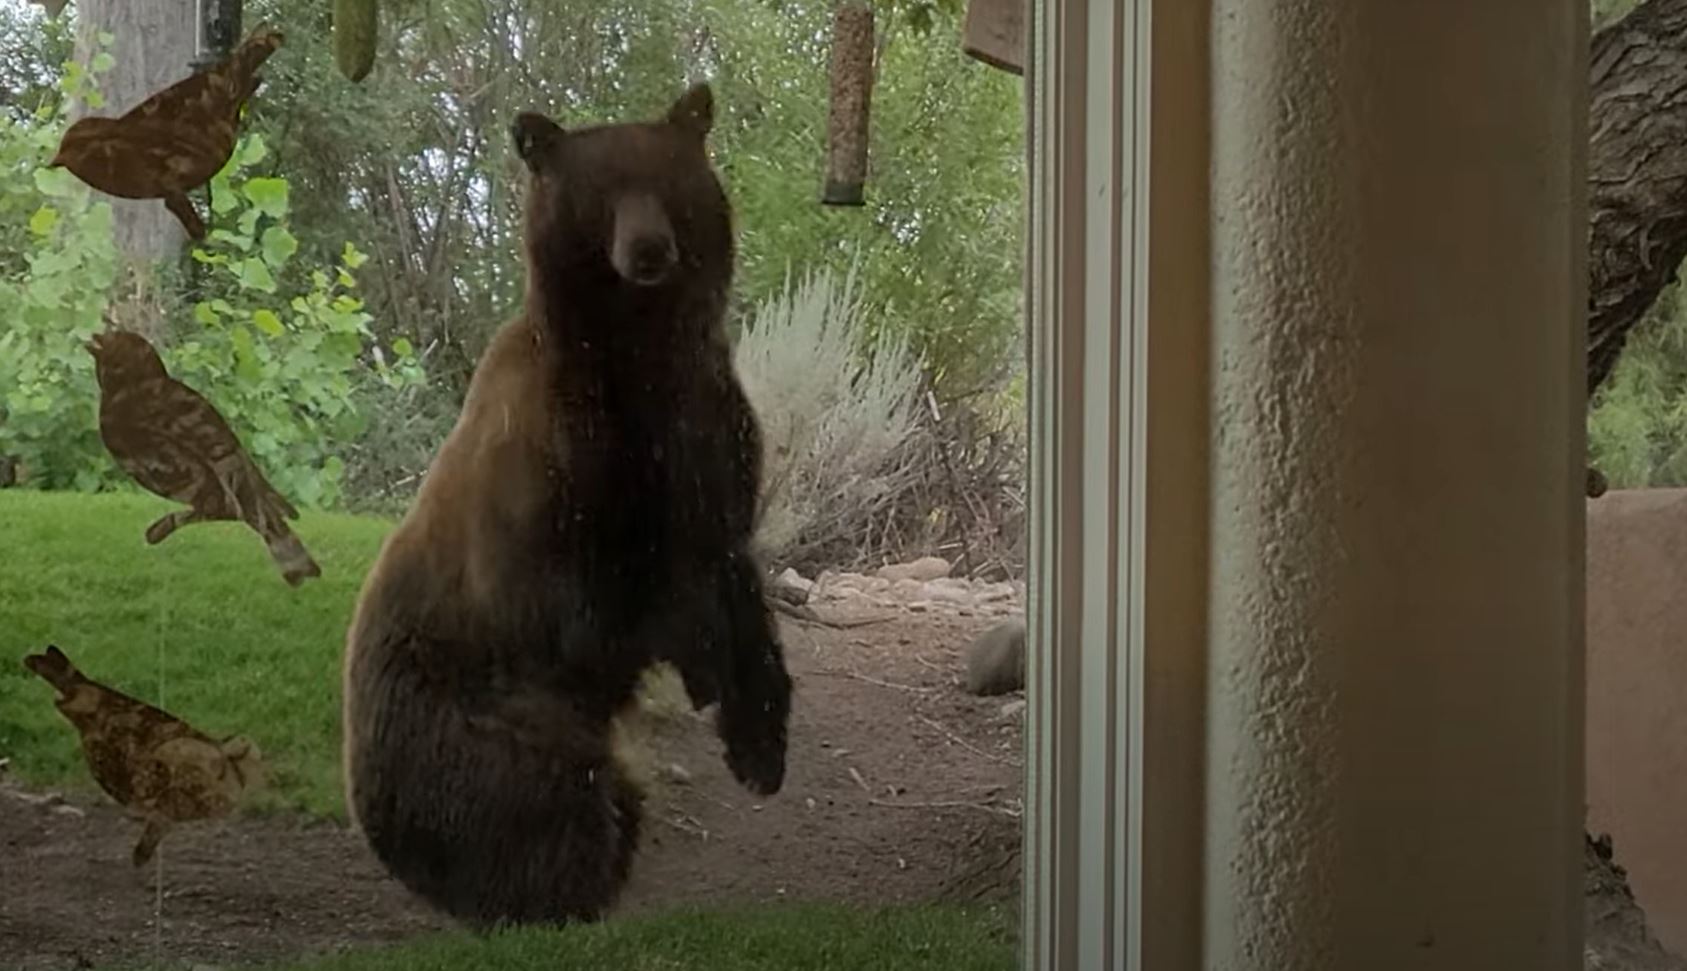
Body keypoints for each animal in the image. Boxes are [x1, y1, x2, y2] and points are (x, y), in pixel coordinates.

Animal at [339, 82, 793, 929]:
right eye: (602, 189)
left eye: (668, 181)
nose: (648, 250)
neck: (634, 351)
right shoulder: (558, 469)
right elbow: (592, 602)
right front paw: (704, 665)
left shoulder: (706, 427)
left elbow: (730, 560)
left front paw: (760, 744)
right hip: (490, 725)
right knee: (554, 805)